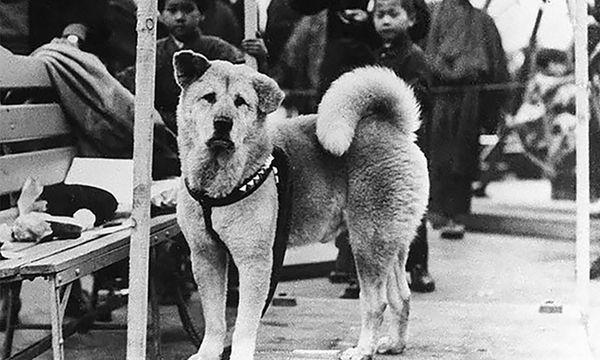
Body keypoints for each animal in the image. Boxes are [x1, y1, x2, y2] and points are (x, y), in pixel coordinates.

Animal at [171, 50, 428, 360]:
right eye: (208, 97)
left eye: (241, 102)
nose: (223, 122)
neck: (220, 182)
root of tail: (392, 127)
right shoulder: (206, 256)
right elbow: (214, 318)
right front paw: (208, 352)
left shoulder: (255, 262)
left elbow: (244, 322)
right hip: (390, 243)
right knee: (401, 297)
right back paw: (395, 344)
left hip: (368, 242)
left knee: (375, 303)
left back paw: (362, 349)